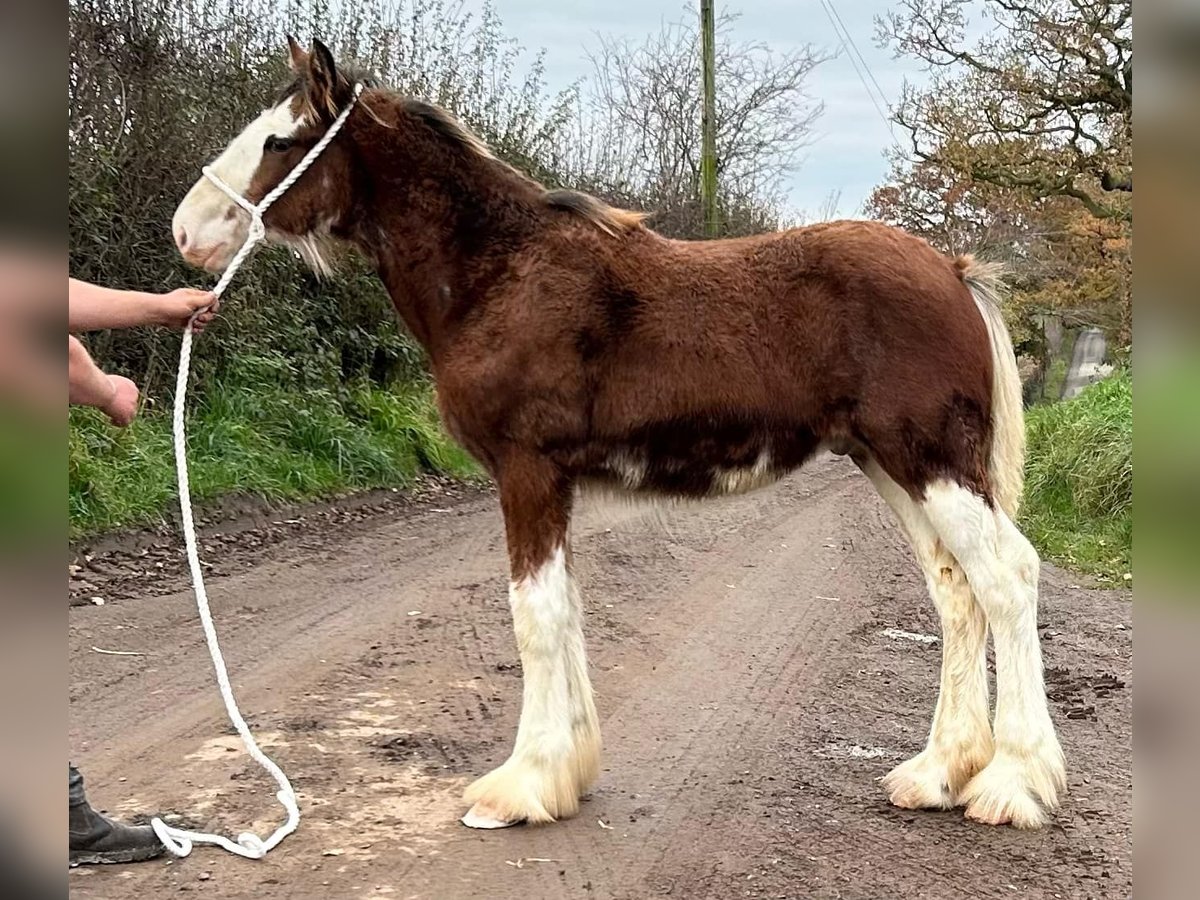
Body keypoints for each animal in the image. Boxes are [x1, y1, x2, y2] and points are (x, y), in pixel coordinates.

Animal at [174, 40, 1065, 830]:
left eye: (281, 139)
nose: (187, 231)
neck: (501, 272)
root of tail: (952, 271)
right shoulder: (553, 483)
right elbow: (562, 610)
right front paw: (562, 773)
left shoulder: (528, 473)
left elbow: (534, 617)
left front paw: (519, 787)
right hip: (893, 465)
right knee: (955, 592)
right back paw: (937, 774)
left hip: (934, 463)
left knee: (1007, 578)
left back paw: (1011, 785)